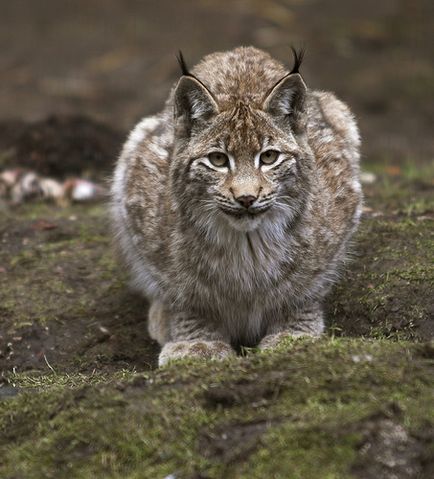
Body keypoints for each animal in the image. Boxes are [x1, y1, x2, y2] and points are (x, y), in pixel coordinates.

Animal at [111, 47, 362, 366]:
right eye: (217, 160)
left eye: (269, 157)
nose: (246, 198)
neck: (248, 242)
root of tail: (238, 50)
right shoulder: (143, 215)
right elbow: (184, 293)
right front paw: (198, 343)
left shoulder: (340, 218)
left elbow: (304, 287)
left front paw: (293, 335)